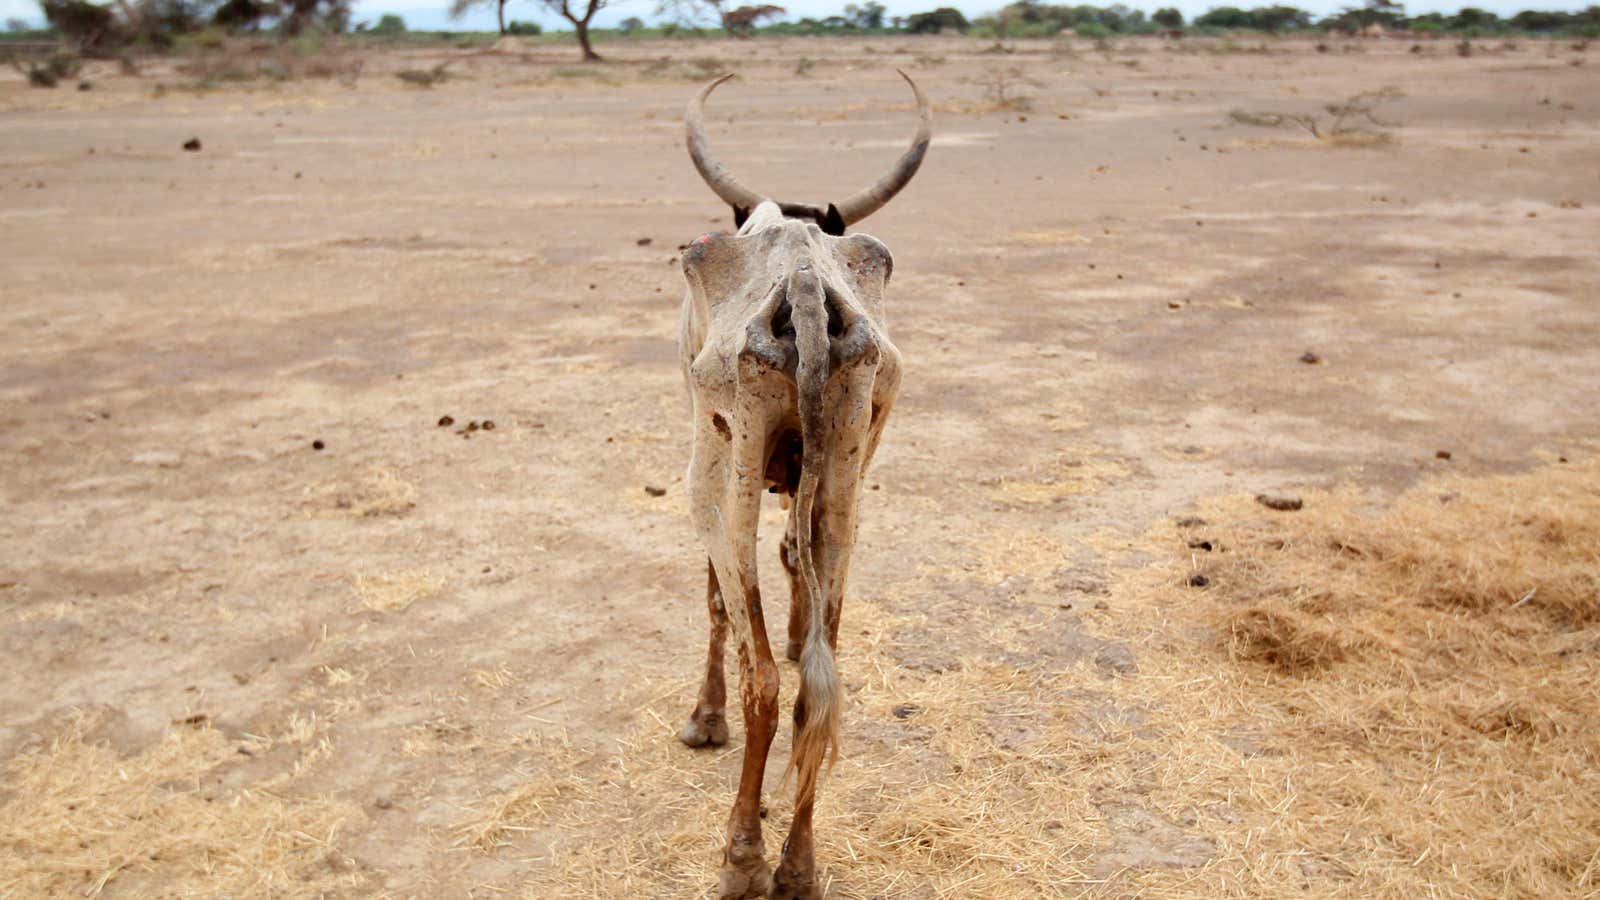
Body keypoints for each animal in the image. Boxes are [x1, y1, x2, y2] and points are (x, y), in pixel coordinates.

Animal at [672, 73, 928, 890]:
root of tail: (809, 285)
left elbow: (717, 600)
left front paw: (704, 719)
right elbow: (797, 561)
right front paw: (793, 631)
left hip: (726, 468)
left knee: (762, 677)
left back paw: (744, 856)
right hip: (851, 457)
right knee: (824, 680)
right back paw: (798, 864)